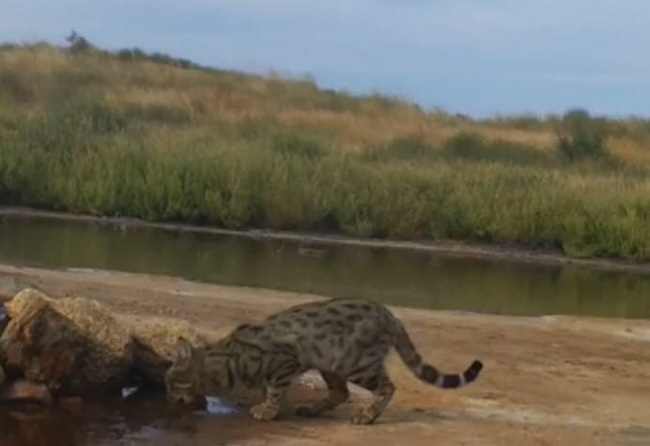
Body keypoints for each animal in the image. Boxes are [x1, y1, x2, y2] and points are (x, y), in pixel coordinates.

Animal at [166, 298, 480, 424]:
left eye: (171, 383)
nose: (167, 396)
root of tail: (390, 315)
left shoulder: (285, 362)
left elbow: (274, 391)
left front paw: (267, 409)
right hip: (331, 364)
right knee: (341, 392)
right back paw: (313, 409)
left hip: (356, 363)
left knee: (387, 387)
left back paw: (367, 415)